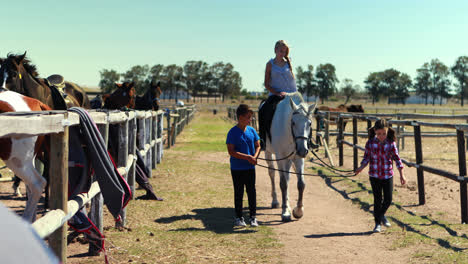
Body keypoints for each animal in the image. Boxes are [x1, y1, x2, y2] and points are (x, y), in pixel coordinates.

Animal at [266, 92, 316, 222]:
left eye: (309, 123)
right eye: (293, 123)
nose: (303, 150)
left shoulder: (298, 158)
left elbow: (301, 184)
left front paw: (298, 211)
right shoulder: (280, 156)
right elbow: (283, 183)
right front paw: (285, 212)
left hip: (289, 160)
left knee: (287, 177)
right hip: (269, 153)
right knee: (272, 173)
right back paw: (275, 201)